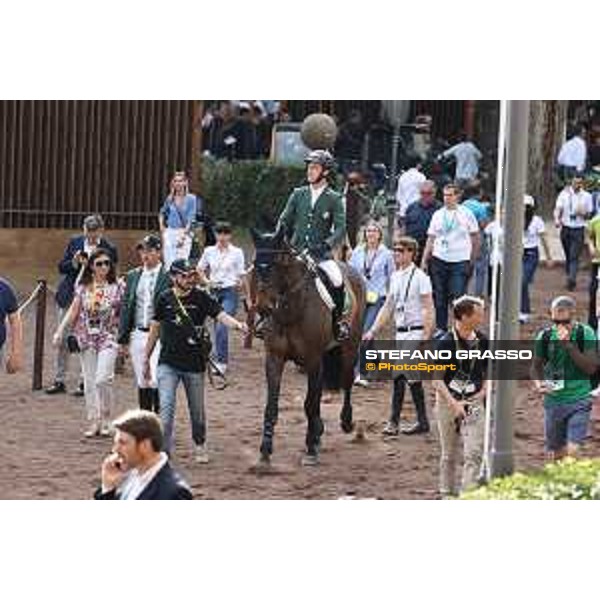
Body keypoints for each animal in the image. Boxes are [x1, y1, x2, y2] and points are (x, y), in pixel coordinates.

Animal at [248, 227, 366, 466]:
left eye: (278, 263)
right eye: (256, 264)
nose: (264, 307)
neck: (291, 310)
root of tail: (350, 268)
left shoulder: (312, 359)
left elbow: (310, 403)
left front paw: (311, 448)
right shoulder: (274, 358)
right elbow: (272, 406)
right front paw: (265, 449)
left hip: (349, 347)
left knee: (347, 381)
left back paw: (345, 422)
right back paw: (318, 432)